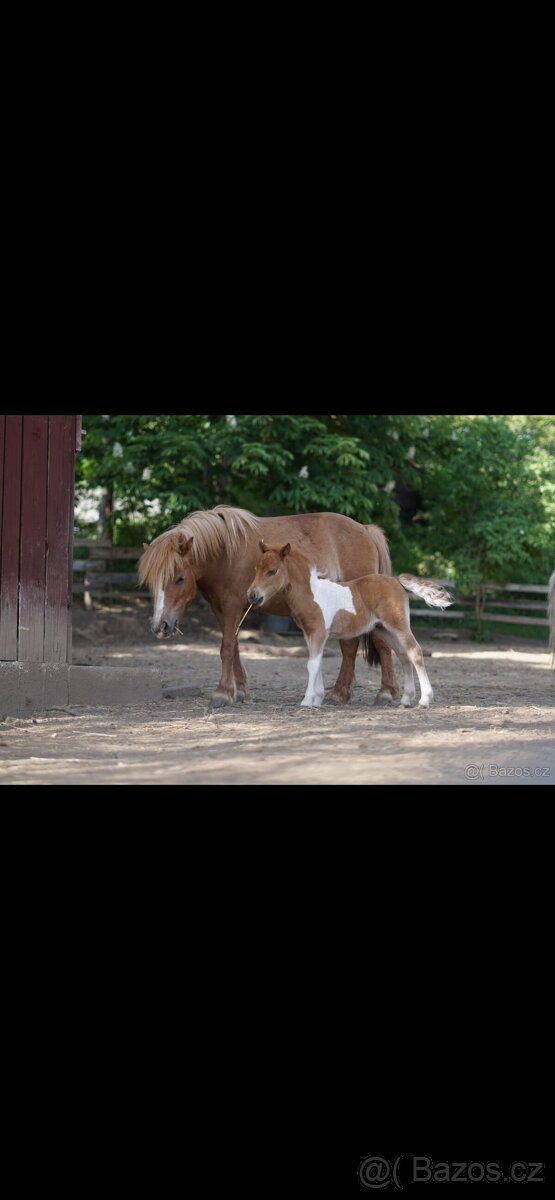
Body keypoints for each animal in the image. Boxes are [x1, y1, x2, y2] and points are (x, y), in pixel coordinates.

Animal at [138, 505, 401, 709]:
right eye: (152, 582)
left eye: (179, 578)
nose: (160, 626)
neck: (225, 554)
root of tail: (365, 530)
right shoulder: (220, 609)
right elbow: (234, 647)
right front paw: (240, 691)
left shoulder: (233, 606)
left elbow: (226, 647)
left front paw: (222, 693)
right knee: (349, 647)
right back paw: (340, 693)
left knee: (381, 644)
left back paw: (386, 692)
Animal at [247, 540, 454, 708]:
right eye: (256, 569)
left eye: (272, 571)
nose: (252, 595)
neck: (311, 593)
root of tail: (396, 581)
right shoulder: (309, 633)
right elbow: (318, 662)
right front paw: (318, 699)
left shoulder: (318, 632)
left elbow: (312, 664)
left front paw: (307, 701)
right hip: (384, 630)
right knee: (404, 655)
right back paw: (405, 700)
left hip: (398, 626)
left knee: (415, 652)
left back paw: (424, 700)